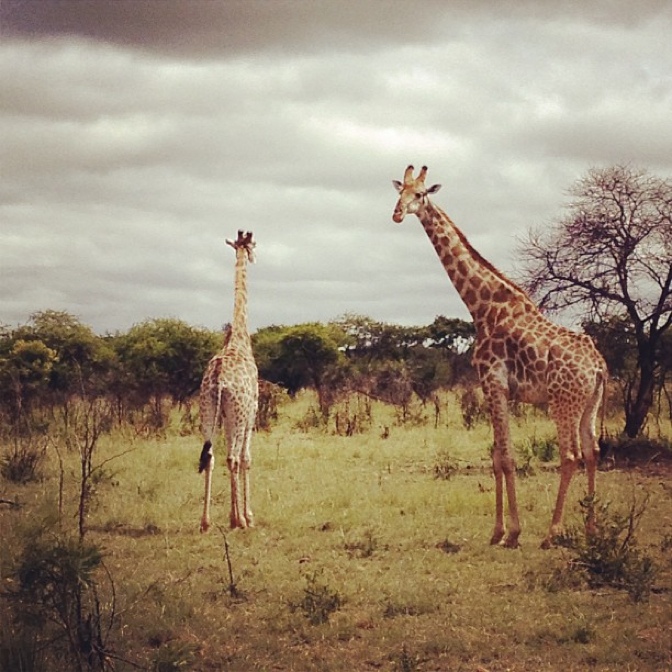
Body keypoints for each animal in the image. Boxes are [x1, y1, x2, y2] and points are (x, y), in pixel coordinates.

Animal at [392, 165, 607, 549]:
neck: (484, 308)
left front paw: (511, 532)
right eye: (399, 190)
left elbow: (505, 457)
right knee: (592, 450)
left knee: (570, 456)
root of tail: (597, 367)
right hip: (591, 403)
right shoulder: (498, 388)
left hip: (562, 401)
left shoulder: (493, 383)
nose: (397, 213)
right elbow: (496, 457)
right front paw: (499, 531)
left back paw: (552, 533)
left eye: (420, 194)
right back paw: (590, 529)